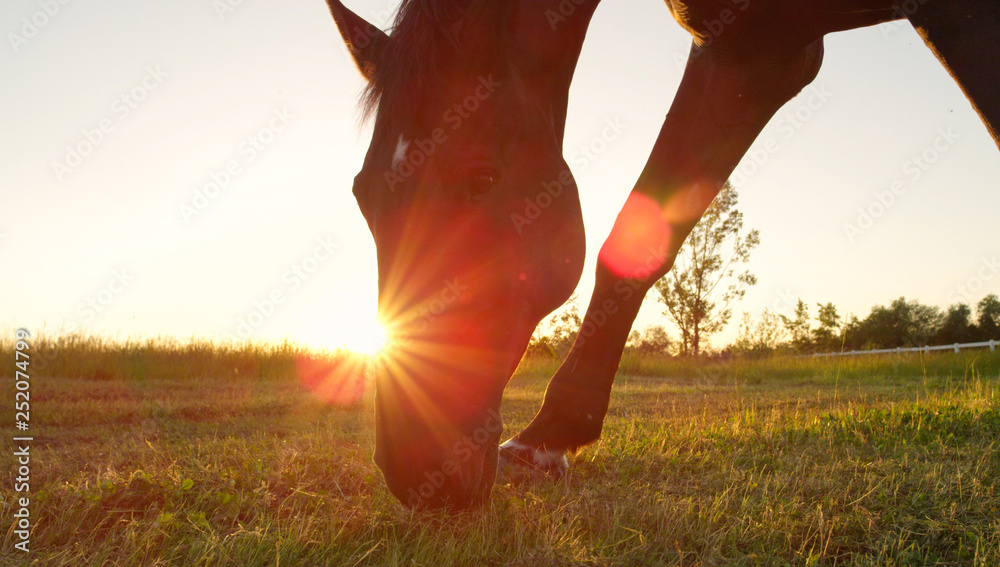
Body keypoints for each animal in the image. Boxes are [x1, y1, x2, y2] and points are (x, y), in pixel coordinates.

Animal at [326, 0, 992, 510]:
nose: (416, 474)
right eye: (361, 194)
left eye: (481, 178)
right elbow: (640, 238)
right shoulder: (749, 47)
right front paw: (550, 437)